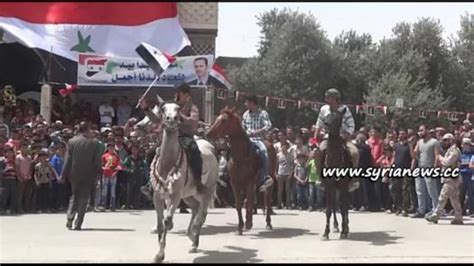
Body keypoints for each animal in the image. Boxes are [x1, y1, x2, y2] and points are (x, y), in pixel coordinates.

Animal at [143, 100, 219, 264]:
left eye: (177, 109)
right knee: (195, 208)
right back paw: (192, 237)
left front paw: (161, 254)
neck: (167, 164)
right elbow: (160, 224)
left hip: (205, 191)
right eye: (163, 109)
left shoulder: (175, 196)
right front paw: (158, 254)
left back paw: (194, 239)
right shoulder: (157, 196)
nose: (171, 119)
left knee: (202, 214)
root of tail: (211, 148)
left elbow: (166, 220)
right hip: (188, 195)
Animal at [207, 106, 278, 235]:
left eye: (224, 120)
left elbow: (249, 203)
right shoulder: (235, 183)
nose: (208, 133)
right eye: (218, 118)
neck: (241, 156)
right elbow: (239, 205)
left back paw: (268, 224)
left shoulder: (249, 182)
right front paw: (240, 227)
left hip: (268, 182)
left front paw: (247, 224)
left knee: (267, 201)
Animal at [316, 107, 354, 240]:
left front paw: (344, 231)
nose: (327, 126)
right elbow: (328, 209)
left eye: (339, 118)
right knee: (334, 205)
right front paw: (325, 233)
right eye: (328, 116)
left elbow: (343, 208)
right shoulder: (329, 185)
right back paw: (336, 226)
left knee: (345, 205)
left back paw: (345, 227)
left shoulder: (343, 185)